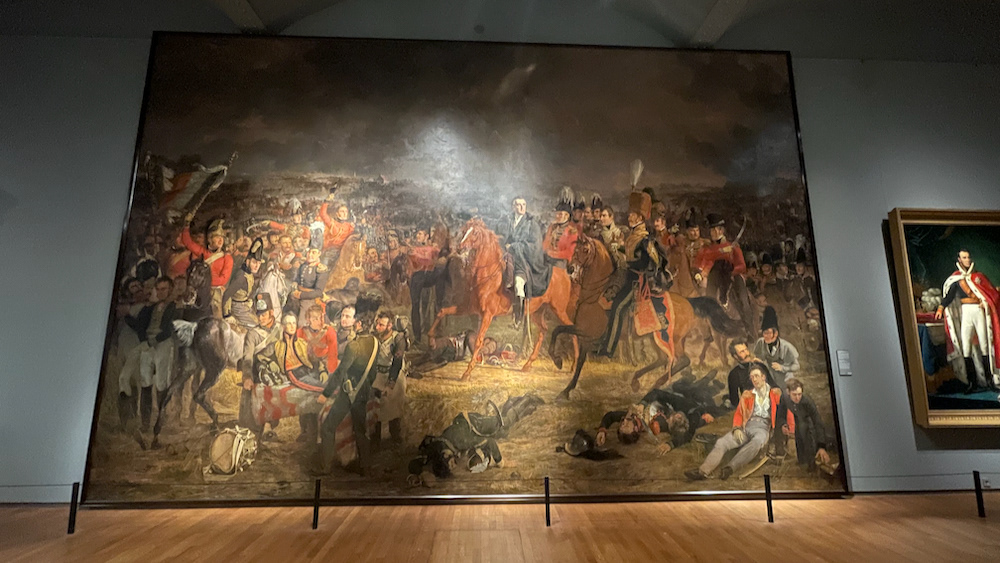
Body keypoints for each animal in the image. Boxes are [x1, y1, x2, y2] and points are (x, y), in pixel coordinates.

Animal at [428, 218, 575, 381]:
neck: (487, 275)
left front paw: (467, 372)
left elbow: (478, 341)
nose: (459, 248)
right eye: (465, 230)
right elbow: (442, 312)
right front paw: (431, 341)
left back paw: (573, 366)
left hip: (559, 310)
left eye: (476, 233)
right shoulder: (467, 308)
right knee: (543, 330)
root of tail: (564, 273)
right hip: (536, 312)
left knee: (572, 328)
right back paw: (528, 364)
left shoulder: (488, 315)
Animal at [550, 234, 741, 400]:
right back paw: (636, 381)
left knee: (682, 360)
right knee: (663, 359)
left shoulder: (587, 332)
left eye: (585, 250)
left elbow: (558, 331)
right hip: (654, 338)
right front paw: (566, 389)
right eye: (575, 249)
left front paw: (558, 363)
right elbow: (576, 356)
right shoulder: (586, 335)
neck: (597, 293)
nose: (570, 269)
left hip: (673, 339)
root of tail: (689, 302)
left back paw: (656, 384)